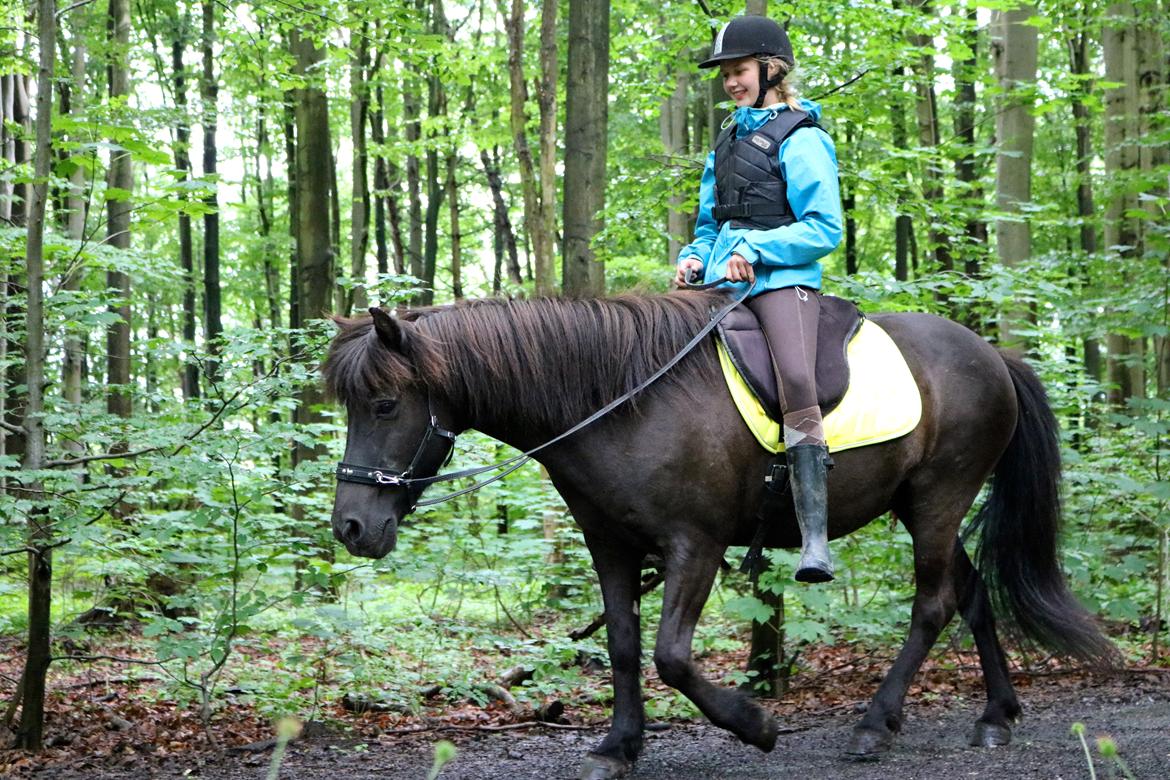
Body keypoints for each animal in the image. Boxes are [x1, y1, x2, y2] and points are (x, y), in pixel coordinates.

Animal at [322, 292, 1113, 780]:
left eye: (385, 403)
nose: (353, 527)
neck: (621, 403)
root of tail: (991, 353)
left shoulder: (694, 545)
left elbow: (671, 656)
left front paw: (753, 724)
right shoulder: (610, 546)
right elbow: (623, 647)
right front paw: (619, 745)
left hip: (939, 500)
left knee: (934, 606)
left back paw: (874, 725)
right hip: (923, 509)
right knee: (972, 598)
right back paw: (996, 716)